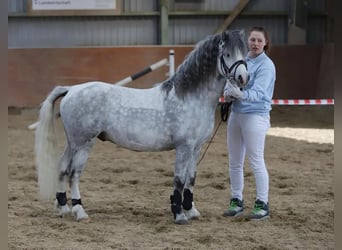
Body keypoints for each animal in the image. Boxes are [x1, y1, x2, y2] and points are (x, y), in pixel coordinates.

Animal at [30, 29, 247, 225]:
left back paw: (62, 208)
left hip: (73, 142)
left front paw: (191, 210)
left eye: (244, 53)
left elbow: (191, 178)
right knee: (74, 174)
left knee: (62, 167)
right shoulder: (184, 147)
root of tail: (71, 89)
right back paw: (79, 211)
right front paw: (179, 215)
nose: (244, 78)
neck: (190, 97)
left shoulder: (196, 148)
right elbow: (179, 179)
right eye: (227, 54)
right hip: (84, 143)